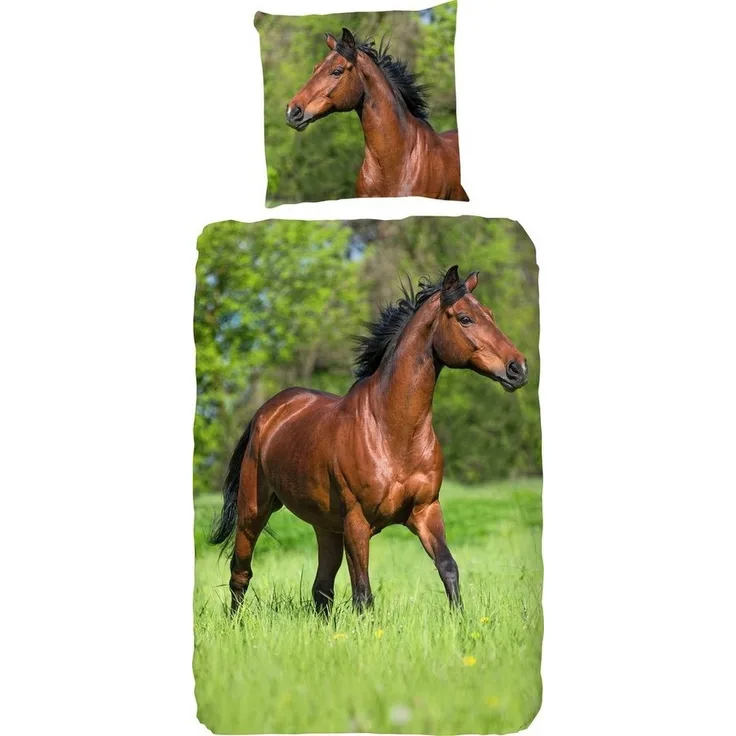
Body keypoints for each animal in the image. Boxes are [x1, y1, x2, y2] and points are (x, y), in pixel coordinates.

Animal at [209, 266, 528, 616]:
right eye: (465, 318)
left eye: (490, 314)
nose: (518, 368)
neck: (392, 434)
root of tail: (267, 412)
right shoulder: (357, 522)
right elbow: (363, 594)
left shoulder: (426, 511)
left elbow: (448, 567)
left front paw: (461, 621)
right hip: (253, 512)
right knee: (241, 573)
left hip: (326, 526)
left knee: (321, 589)